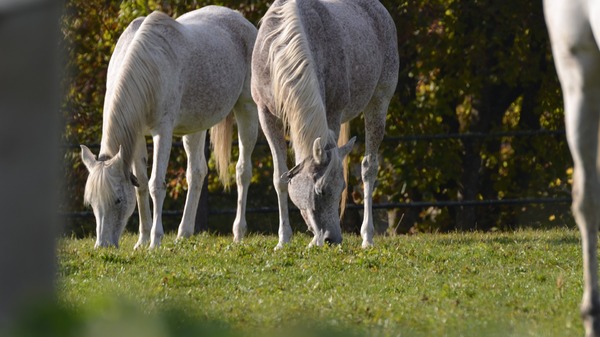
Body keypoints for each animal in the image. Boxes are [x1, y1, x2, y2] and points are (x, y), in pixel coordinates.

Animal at [80, 6, 258, 248]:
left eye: (117, 200)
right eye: (91, 202)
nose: (102, 245)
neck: (149, 68)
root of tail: (242, 21)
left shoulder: (162, 132)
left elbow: (156, 184)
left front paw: (155, 241)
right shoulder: (136, 136)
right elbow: (141, 185)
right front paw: (142, 240)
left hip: (247, 109)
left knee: (242, 171)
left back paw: (238, 233)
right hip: (195, 127)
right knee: (197, 173)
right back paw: (184, 233)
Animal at [252, 0, 398, 247]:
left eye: (342, 188)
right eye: (319, 191)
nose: (333, 239)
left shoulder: (333, 113)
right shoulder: (265, 114)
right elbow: (280, 178)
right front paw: (283, 240)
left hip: (379, 101)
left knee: (369, 168)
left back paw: (367, 238)